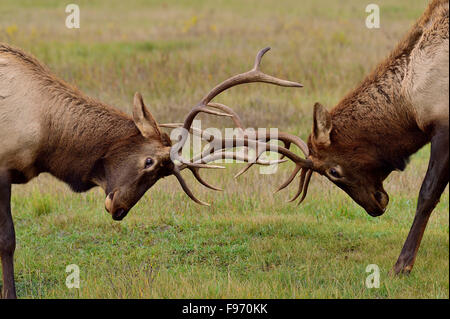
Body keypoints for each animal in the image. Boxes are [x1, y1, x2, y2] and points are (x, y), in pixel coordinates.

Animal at [0, 42, 308, 298]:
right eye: (149, 162)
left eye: (162, 175)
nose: (118, 209)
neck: (46, 135)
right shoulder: (3, 168)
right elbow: (8, 239)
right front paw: (9, 294)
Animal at [244, 0, 448, 276]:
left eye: (333, 172)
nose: (375, 207)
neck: (410, 102)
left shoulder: (443, 126)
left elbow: (427, 194)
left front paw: (402, 265)